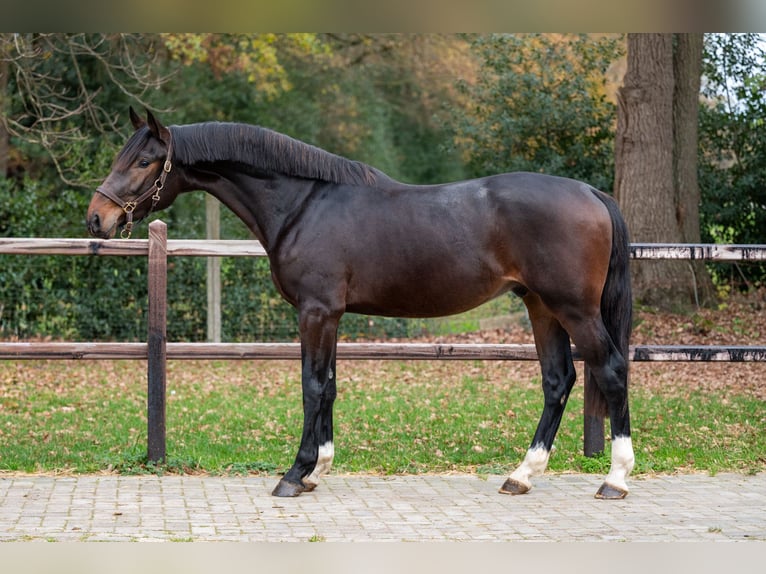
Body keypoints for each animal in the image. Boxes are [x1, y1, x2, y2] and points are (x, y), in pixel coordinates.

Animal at [87, 108, 635, 499]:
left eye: (143, 161)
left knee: (610, 369)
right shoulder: (330, 315)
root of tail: (590, 192)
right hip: (541, 307)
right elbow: (329, 386)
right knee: (557, 380)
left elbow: (311, 387)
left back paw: (615, 479)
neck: (303, 205)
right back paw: (522, 474)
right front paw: (317, 470)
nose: (97, 218)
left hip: (574, 309)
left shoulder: (315, 311)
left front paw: (294, 474)